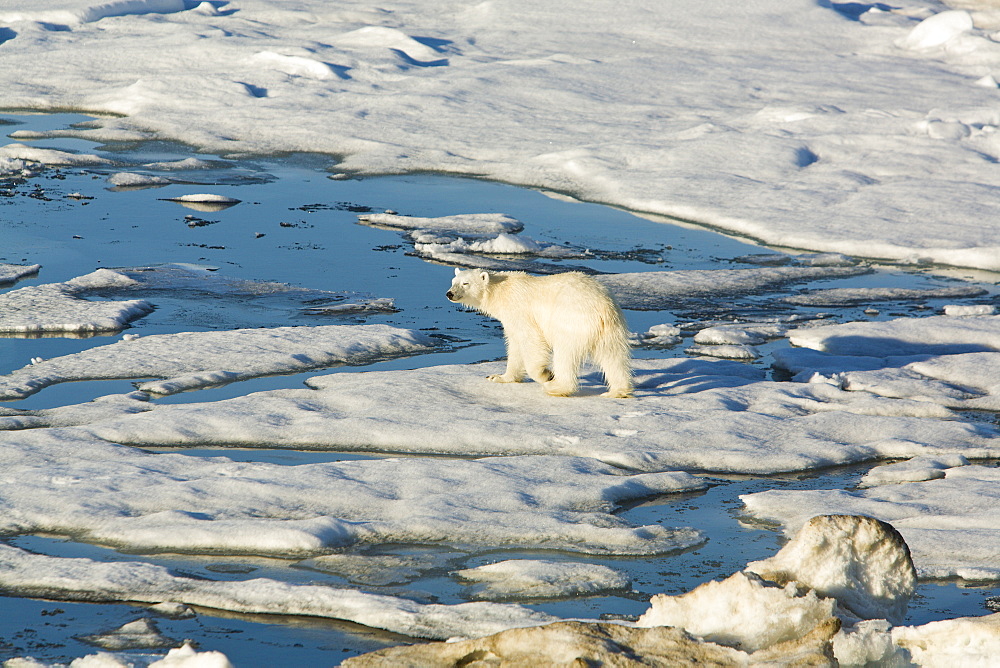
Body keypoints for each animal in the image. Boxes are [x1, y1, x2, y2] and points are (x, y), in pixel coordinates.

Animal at [448, 268, 632, 400]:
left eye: (465, 283)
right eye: (453, 281)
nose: (449, 293)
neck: (501, 291)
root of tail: (602, 307)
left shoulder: (520, 310)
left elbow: (531, 340)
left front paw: (545, 375)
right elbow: (515, 345)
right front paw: (498, 377)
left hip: (572, 322)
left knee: (565, 355)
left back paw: (555, 387)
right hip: (611, 329)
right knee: (613, 357)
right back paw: (617, 391)